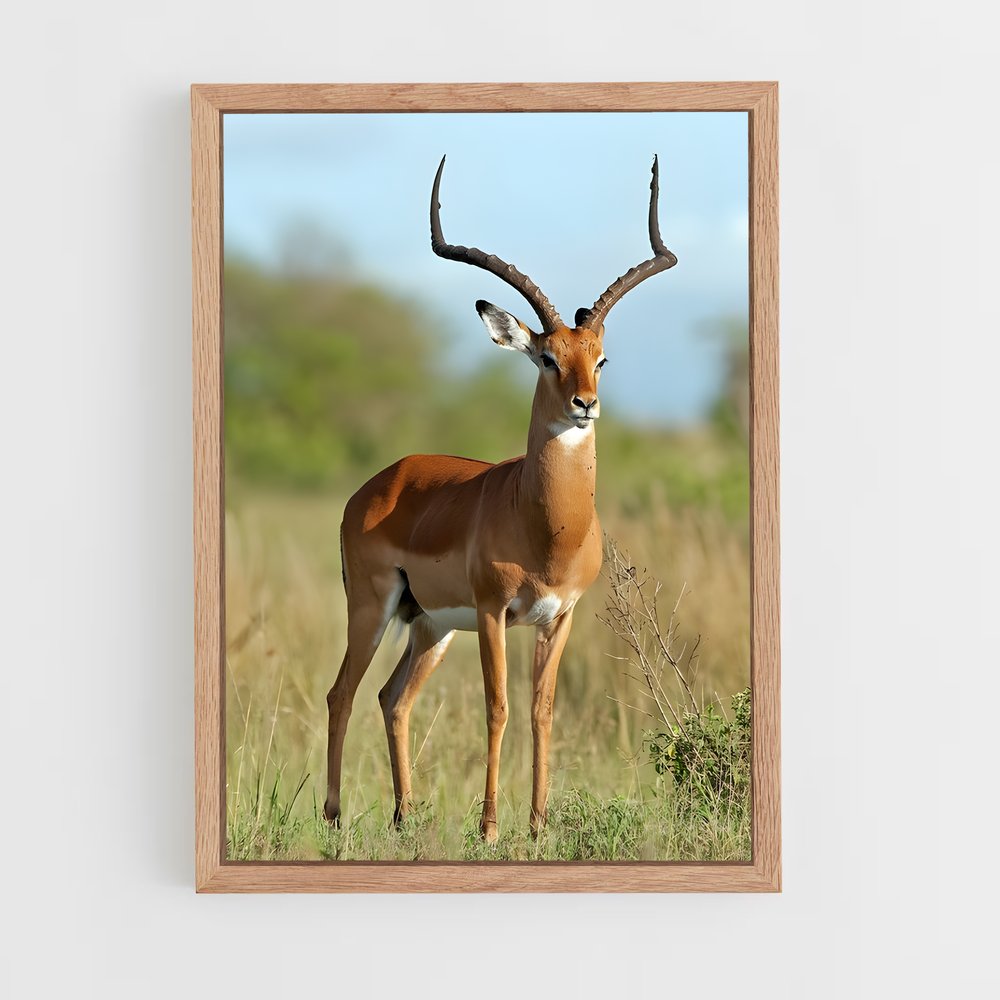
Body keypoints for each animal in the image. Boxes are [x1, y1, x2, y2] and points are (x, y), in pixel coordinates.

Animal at [324, 156, 677, 842]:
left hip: (429, 625)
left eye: (600, 358)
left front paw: (538, 825)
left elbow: (541, 711)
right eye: (545, 358)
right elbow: (498, 707)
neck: (546, 529)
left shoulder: (558, 616)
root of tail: (377, 483)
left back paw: (404, 817)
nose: (584, 405)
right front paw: (489, 826)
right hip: (374, 607)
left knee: (392, 699)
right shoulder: (493, 612)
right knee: (342, 694)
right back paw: (332, 818)